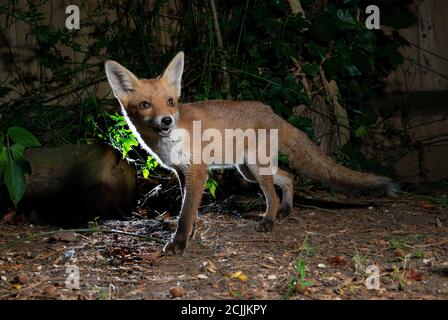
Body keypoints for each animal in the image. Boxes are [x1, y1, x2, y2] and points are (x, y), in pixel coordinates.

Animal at [104, 50, 396, 255]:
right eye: (145, 105)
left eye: (170, 102)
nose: (166, 120)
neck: (169, 140)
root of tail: (271, 111)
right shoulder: (181, 173)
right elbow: (189, 210)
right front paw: (190, 236)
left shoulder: (198, 172)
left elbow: (186, 215)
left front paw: (179, 243)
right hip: (248, 169)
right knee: (289, 178)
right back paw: (287, 209)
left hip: (255, 167)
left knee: (273, 196)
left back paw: (269, 220)